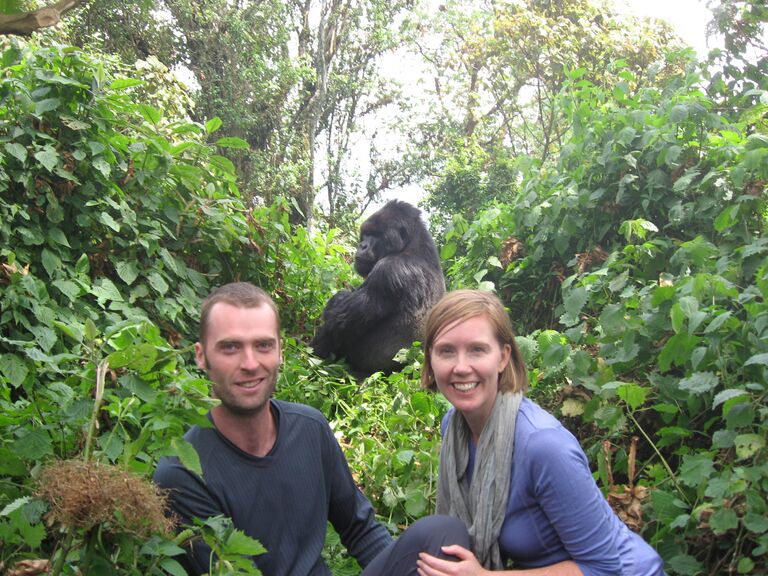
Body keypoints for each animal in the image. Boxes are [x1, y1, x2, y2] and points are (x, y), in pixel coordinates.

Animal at [310, 200, 444, 376]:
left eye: (377, 234)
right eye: (365, 234)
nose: (362, 245)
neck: (413, 247)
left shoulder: (388, 271)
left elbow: (337, 324)